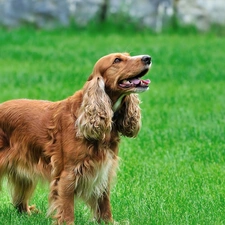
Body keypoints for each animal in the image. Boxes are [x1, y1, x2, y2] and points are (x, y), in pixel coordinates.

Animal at [0, 52, 152, 223]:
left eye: (128, 55)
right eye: (117, 60)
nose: (148, 58)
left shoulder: (104, 169)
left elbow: (104, 201)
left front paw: (108, 222)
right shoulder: (68, 173)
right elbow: (67, 206)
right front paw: (68, 222)